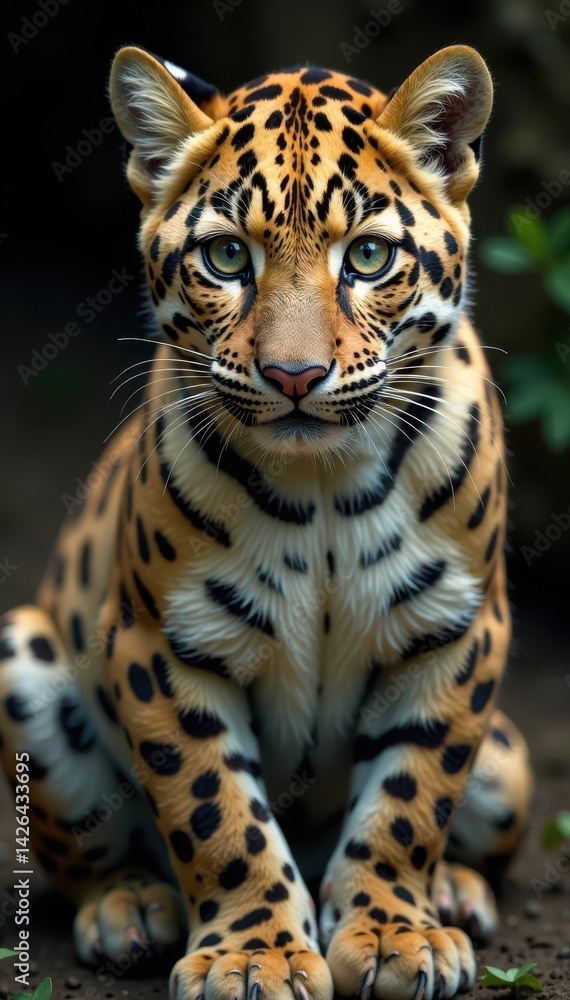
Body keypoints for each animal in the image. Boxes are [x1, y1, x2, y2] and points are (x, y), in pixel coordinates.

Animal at [0, 44, 533, 1000]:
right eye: (224, 257)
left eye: (368, 257)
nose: (293, 376)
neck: (325, 489)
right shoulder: (161, 645)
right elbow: (215, 812)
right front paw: (253, 954)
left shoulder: (459, 633)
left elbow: (411, 797)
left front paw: (397, 933)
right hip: (22, 658)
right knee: (82, 858)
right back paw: (127, 910)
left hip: (508, 759)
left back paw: (457, 893)